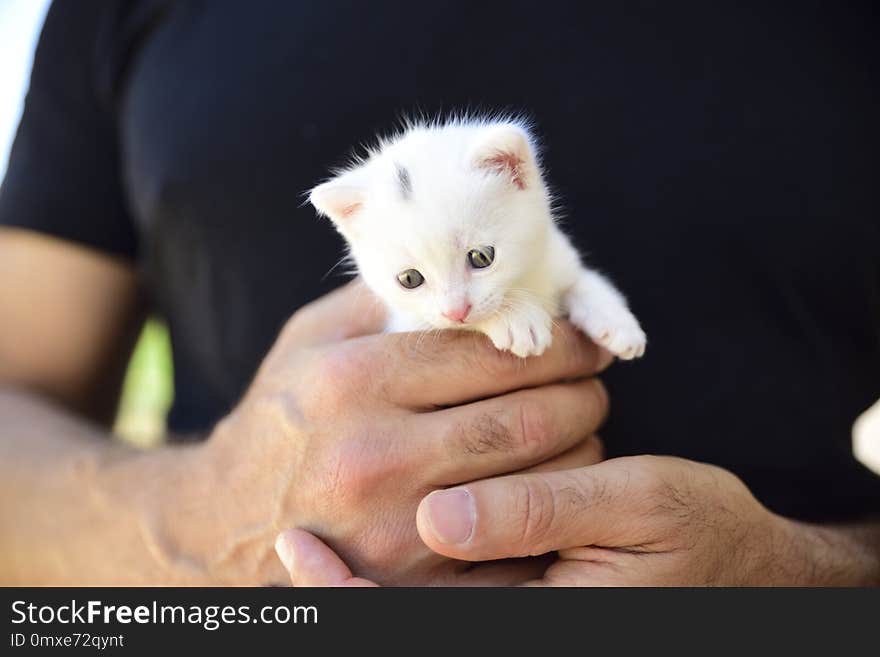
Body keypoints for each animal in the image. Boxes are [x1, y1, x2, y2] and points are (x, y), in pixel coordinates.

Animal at [310, 115, 648, 356]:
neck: (526, 281)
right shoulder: (409, 323)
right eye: (409, 279)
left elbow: (580, 279)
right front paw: (516, 319)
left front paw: (617, 321)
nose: (456, 312)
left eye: (482, 257)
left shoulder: (556, 255)